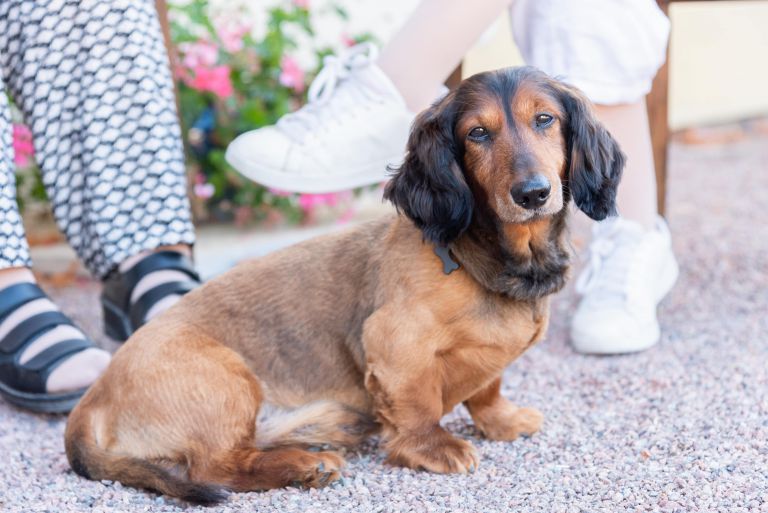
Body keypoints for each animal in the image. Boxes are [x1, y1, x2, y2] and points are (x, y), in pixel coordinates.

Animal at [64, 66, 624, 502]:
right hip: (226, 379)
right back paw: (306, 466)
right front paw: (432, 447)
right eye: (477, 134)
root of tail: (92, 402)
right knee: (213, 468)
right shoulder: (394, 344)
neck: (485, 259)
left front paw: (501, 420)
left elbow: (488, 387)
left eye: (545, 119)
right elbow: (418, 404)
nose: (532, 193)